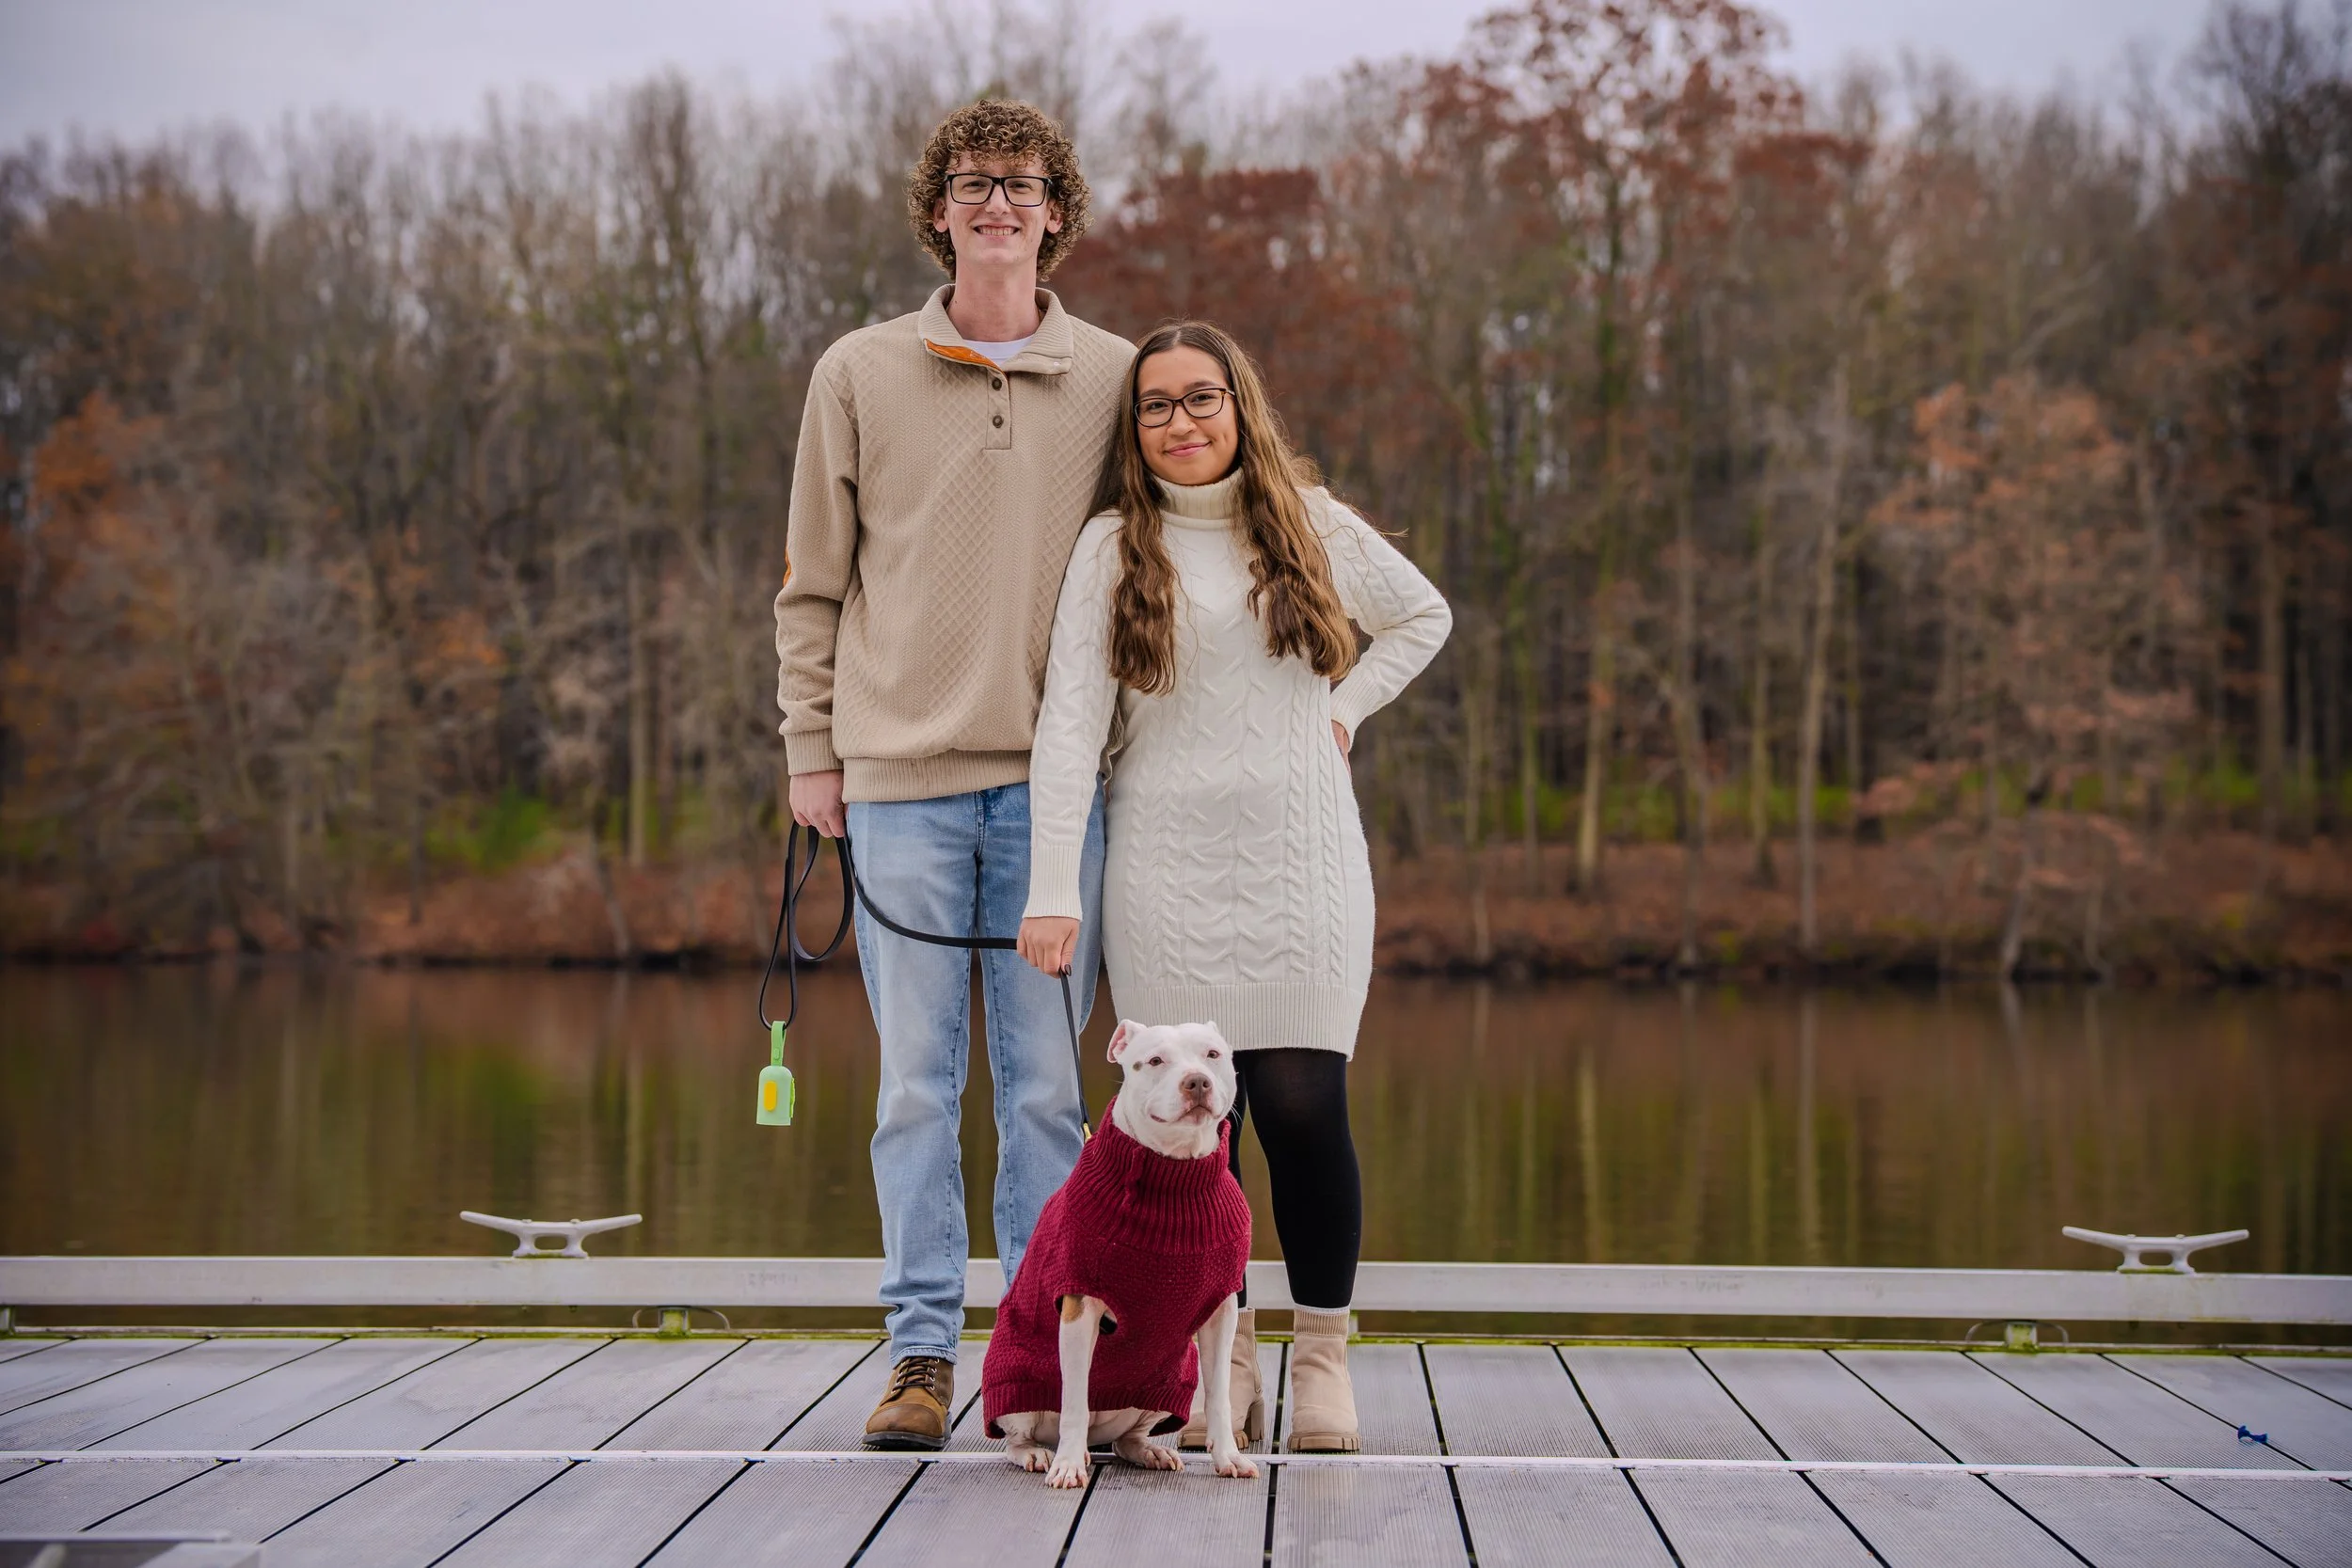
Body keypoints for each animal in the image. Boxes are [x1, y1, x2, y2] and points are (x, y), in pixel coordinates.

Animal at [983, 1019, 1258, 1489]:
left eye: (1212, 1055)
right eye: (1155, 1060)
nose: (1197, 1082)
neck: (1174, 1178)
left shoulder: (1222, 1311)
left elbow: (1220, 1395)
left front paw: (1228, 1457)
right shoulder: (1079, 1305)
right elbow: (1075, 1398)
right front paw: (1068, 1466)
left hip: (1168, 1382)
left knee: (1127, 1439)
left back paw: (1150, 1451)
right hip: (1016, 1385)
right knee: (1021, 1437)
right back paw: (1044, 1453)